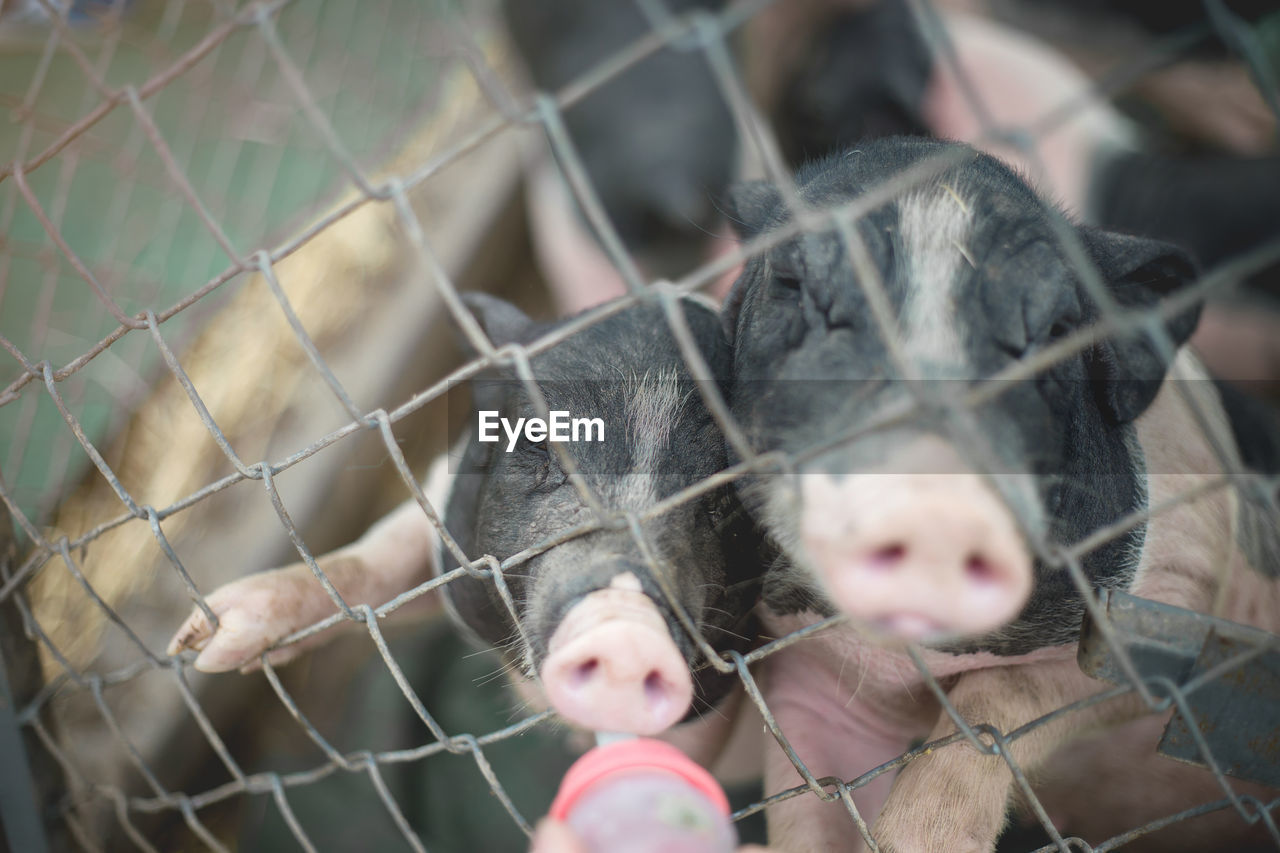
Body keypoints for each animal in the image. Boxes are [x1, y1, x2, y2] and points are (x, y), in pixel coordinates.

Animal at [727, 136, 1274, 845]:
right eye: (792, 285)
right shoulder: (805, 667)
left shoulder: (1176, 599)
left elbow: (996, 702)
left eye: (1059, 329)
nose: (934, 503)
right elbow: (814, 806)